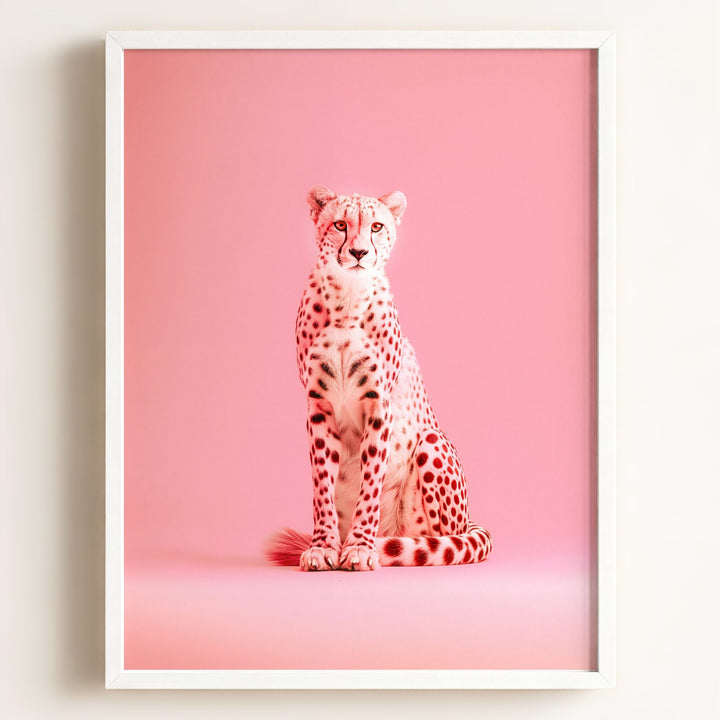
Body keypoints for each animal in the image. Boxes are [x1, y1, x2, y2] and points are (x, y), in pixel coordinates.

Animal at [266, 185, 492, 571]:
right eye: (340, 224)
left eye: (376, 226)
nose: (358, 252)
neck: (347, 298)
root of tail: (468, 520)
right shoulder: (318, 405)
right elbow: (322, 484)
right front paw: (324, 546)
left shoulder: (378, 405)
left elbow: (371, 481)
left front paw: (359, 546)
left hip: (432, 443)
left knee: (443, 540)